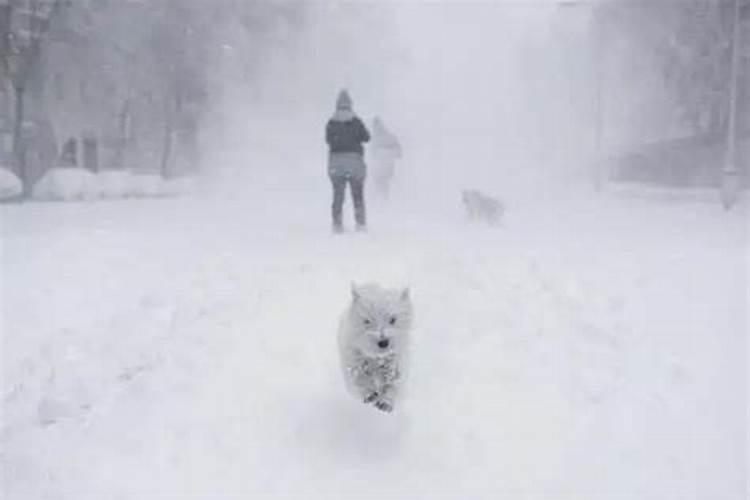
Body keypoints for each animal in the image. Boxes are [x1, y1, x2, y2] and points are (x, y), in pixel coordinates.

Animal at [338, 284, 414, 412]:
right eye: (367, 321)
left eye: (393, 319)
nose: (383, 343)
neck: (377, 359)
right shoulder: (354, 359)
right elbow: (359, 379)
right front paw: (369, 395)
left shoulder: (397, 363)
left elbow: (393, 382)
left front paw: (385, 402)